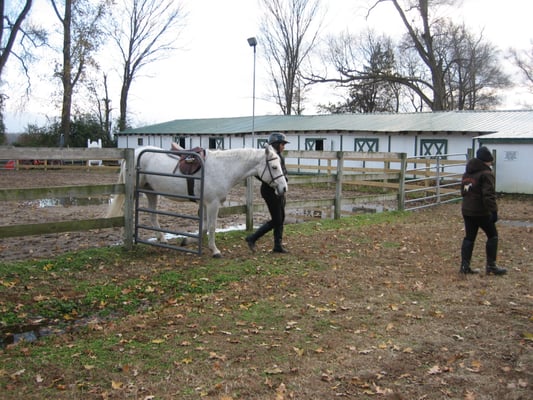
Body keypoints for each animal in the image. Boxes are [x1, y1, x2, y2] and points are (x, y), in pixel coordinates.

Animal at [107, 145, 286, 258]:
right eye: (274, 167)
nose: (284, 188)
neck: (223, 168)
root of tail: (136, 152)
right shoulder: (212, 203)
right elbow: (212, 227)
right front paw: (215, 251)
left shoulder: (207, 204)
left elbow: (205, 227)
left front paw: (186, 240)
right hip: (135, 192)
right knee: (127, 214)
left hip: (151, 192)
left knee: (152, 215)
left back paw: (161, 238)